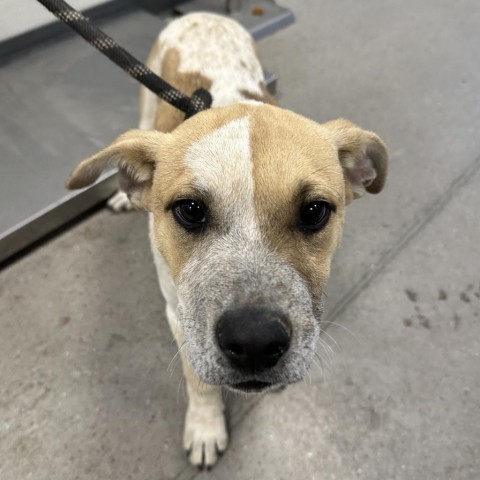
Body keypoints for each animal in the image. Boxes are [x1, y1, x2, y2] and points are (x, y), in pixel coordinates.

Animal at [65, 14, 388, 468]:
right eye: (189, 210)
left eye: (314, 211)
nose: (255, 342)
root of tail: (201, 14)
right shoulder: (180, 316)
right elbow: (199, 382)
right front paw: (205, 427)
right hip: (144, 110)